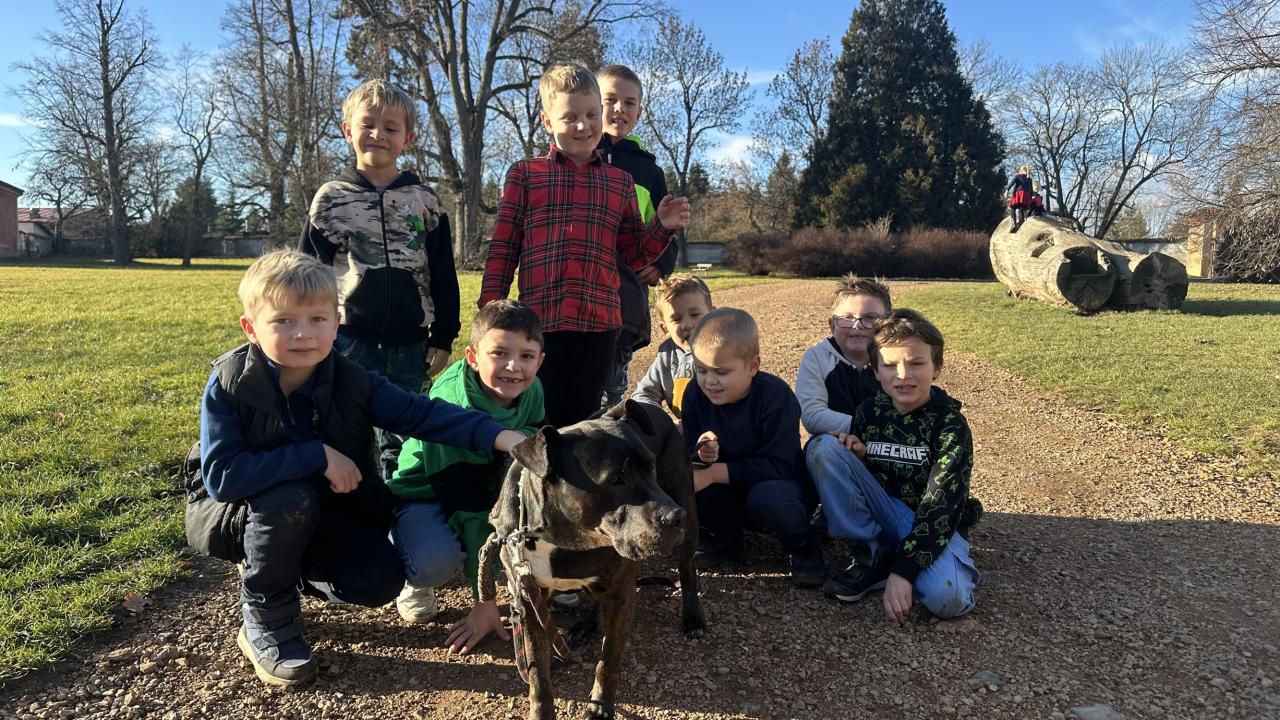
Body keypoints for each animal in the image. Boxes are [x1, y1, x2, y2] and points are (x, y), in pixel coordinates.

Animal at [478, 399, 705, 720]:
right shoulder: (528, 598)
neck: (558, 536)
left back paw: (693, 616)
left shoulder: (623, 595)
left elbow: (608, 661)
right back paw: (588, 625)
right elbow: (538, 677)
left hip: (686, 504)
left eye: (650, 465)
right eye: (614, 479)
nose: (676, 517)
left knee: (686, 568)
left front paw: (600, 707)